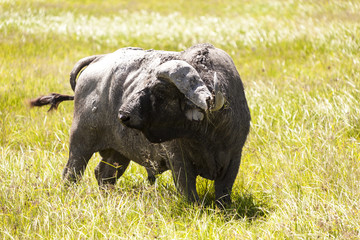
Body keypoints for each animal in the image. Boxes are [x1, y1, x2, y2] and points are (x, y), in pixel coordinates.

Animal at [30, 43, 250, 204]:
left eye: (161, 90)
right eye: (143, 84)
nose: (123, 115)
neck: (208, 134)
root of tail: (98, 59)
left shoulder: (234, 157)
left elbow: (224, 191)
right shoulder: (179, 160)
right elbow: (188, 189)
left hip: (117, 151)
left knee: (104, 173)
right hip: (80, 143)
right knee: (71, 172)